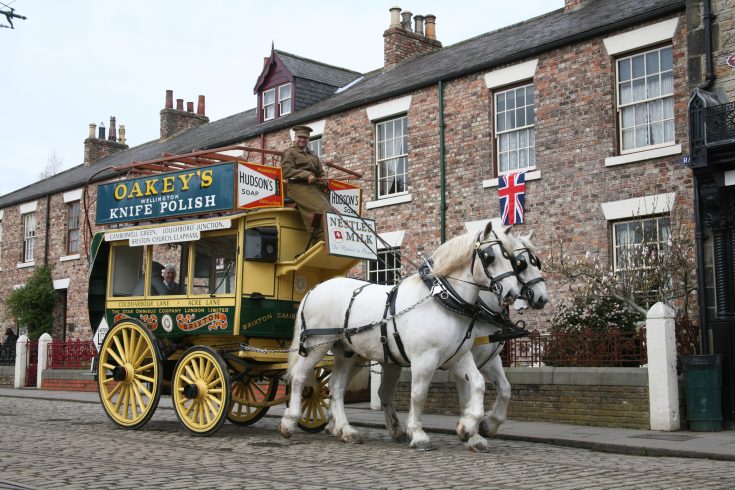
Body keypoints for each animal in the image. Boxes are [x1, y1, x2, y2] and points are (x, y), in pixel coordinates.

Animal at [279, 222, 521, 451]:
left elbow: (479, 384)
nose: (512, 293)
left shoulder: (457, 356)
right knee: (300, 376)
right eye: (489, 257)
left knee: (336, 387)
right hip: (317, 344)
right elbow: (419, 394)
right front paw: (418, 434)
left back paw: (346, 431)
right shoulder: (425, 359)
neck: (443, 299)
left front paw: (471, 429)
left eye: (513, 260)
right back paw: (290, 422)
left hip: (348, 352)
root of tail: (313, 290)